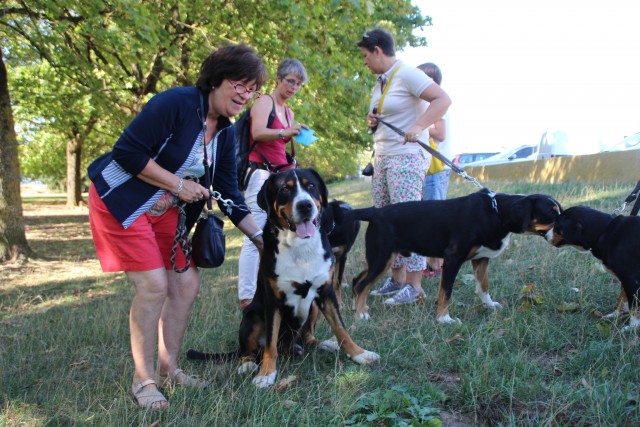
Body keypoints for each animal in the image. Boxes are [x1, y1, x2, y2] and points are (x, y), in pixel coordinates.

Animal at [185, 169, 378, 390]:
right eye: (285, 189)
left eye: (310, 186)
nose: (305, 205)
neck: (300, 247)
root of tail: (291, 345)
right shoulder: (273, 301)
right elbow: (270, 343)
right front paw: (266, 374)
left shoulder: (326, 293)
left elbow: (341, 329)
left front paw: (360, 354)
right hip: (251, 316)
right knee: (250, 350)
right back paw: (248, 364)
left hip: (312, 307)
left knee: (308, 337)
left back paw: (323, 344)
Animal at [342, 189, 564, 322]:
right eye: (552, 213)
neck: (496, 212)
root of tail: (375, 212)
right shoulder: (452, 259)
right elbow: (446, 291)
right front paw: (443, 319)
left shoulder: (481, 259)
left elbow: (483, 285)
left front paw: (489, 305)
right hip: (382, 258)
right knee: (362, 284)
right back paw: (361, 315)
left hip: (379, 258)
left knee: (357, 280)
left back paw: (357, 307)